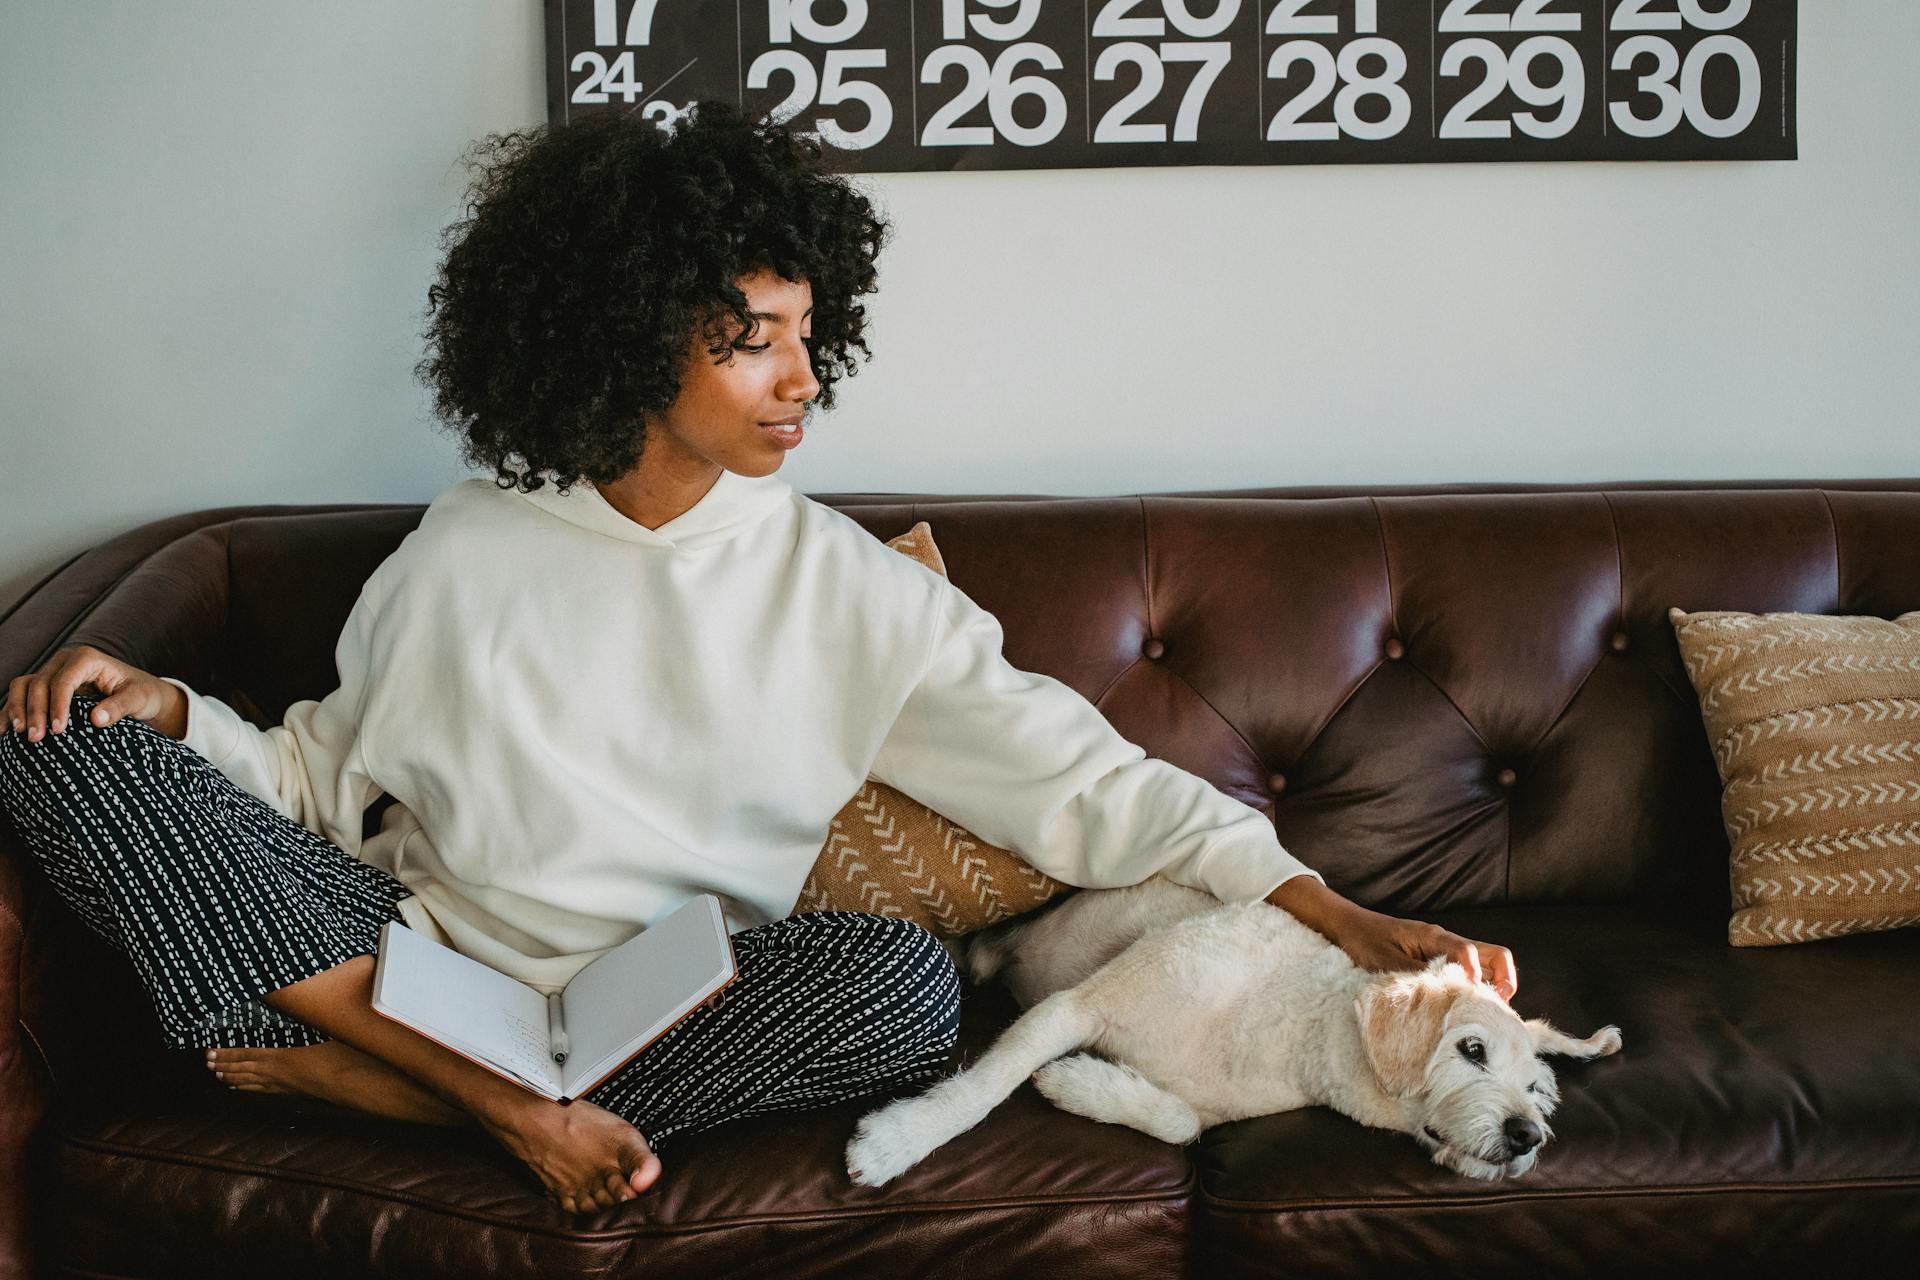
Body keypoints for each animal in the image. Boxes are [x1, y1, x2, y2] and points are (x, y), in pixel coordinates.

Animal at [848, 882, 1612, 1189]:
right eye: (1470, 1049)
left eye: (1537, 1092)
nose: (1528, 1135)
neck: (1292, 1021)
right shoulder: (1074, 1006)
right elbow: (982, 1088)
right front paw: (899, 1141)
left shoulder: (1203, 1099)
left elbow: (1182, 1121)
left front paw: (1081, 1082)